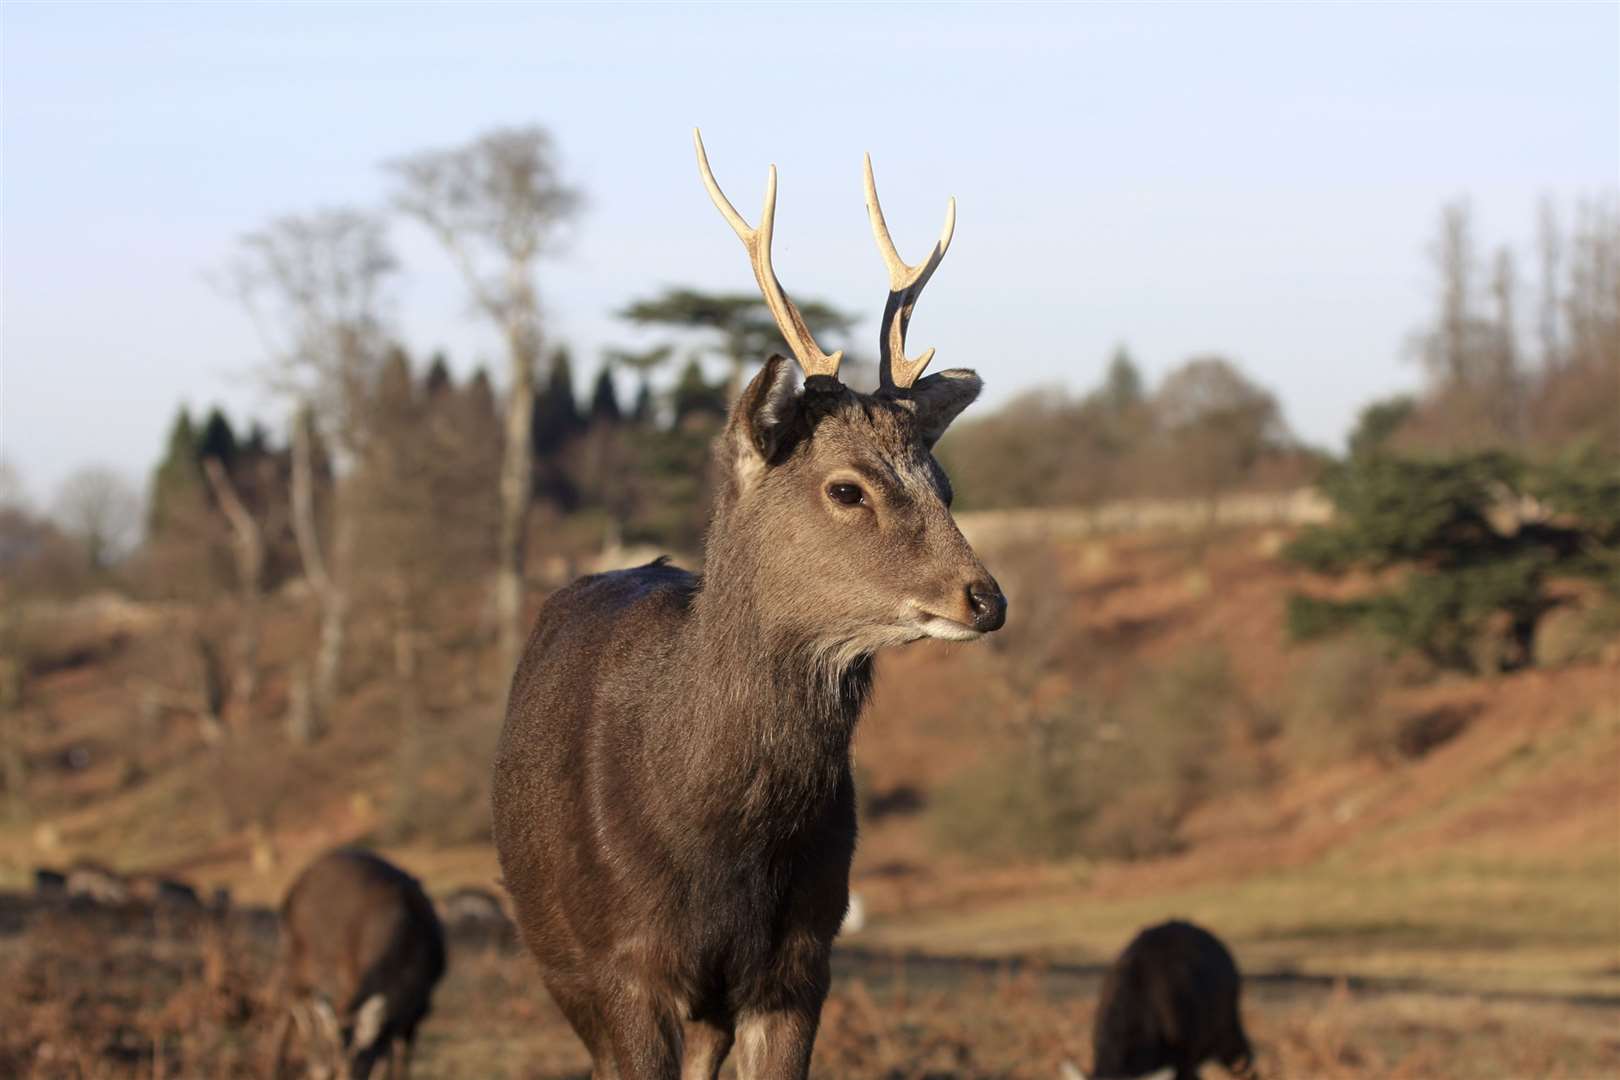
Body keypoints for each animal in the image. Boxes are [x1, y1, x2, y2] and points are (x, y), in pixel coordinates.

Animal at [272, 854, 447, 1080]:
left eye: (357, 1069)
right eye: (336, 1071)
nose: (325, 1070)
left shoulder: (419, 1007)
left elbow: (398, 1057)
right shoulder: (350, 978)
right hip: (294, 958)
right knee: (290, 1005)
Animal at [486, 132, 1004, 1080]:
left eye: (942, 481)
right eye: (846, 488)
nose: (984, 598)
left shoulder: (800, 963)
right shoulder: (623, 968)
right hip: (556, 956)